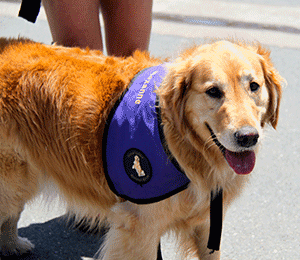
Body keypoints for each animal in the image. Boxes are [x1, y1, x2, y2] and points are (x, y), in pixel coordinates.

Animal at [0, 37, 282, 258]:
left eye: (254, 86)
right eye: (213, 91)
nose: (248, 137)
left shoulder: (206, 221)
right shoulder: (139, 227)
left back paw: (12, 244)